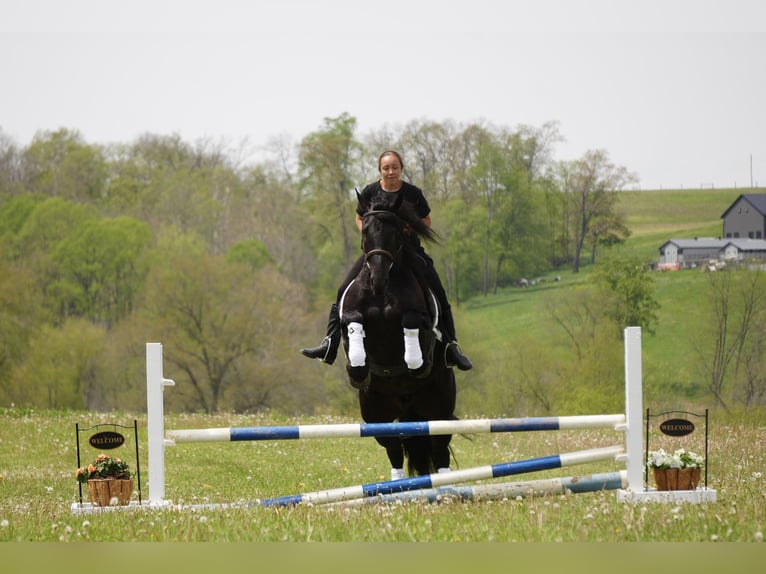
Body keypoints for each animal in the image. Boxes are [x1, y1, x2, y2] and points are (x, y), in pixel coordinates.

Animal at [338, 192, 457, 479]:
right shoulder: (352, 315)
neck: (383, 292)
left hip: (438, 407)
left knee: (440, 446)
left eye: (394, 231)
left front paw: (413, 360)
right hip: (375, 412)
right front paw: (358, 366)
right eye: (366, 230)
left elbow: (412, 325)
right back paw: (398, 485)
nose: (378, 279)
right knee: (393, 446)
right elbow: (353, 320)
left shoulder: (423, 325)